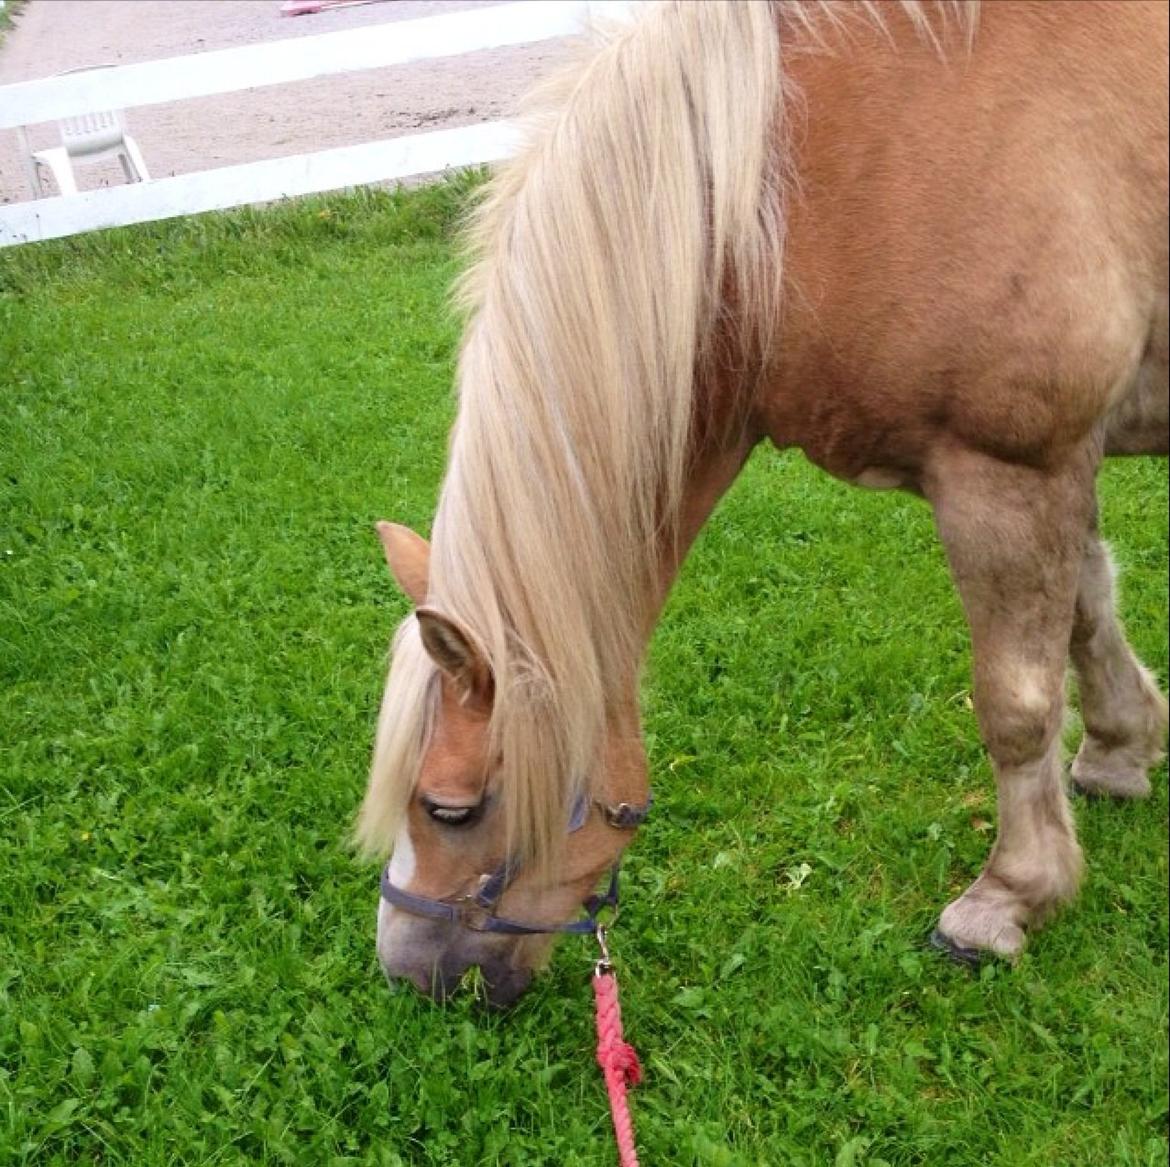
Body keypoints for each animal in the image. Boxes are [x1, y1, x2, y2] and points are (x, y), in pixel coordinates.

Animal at [355, 0, 1170, 1001]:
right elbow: (1088, 614)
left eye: (450, 808)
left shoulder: (1005, 471)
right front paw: (1119, 752)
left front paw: (1008, 897)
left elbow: (1016, 703)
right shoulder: (1056, 460)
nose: (408, 969)